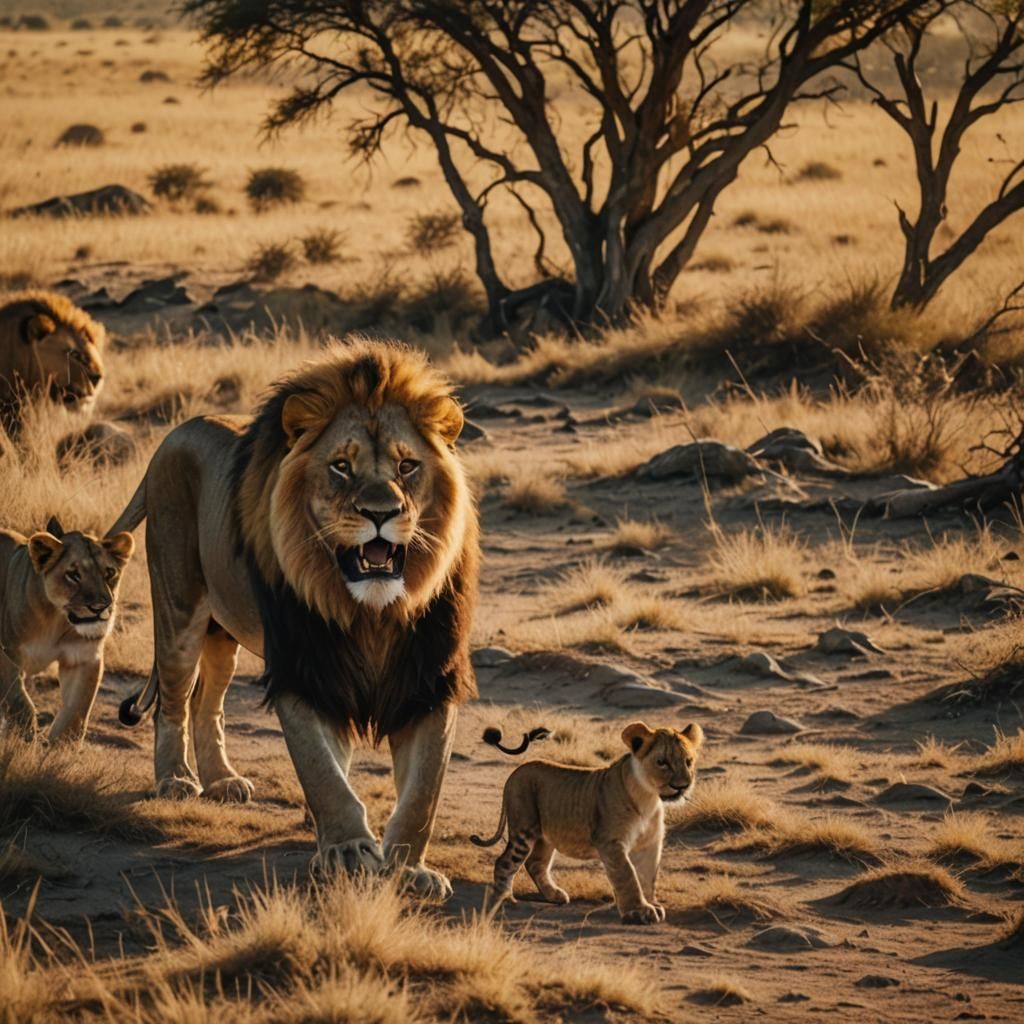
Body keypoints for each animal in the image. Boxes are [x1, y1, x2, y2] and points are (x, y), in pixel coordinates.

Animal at [0, 515, 134, 743]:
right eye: (73, 575)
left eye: (109, 573)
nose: (100, 607)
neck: (55, 620)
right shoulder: (6, 654)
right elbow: (18, 700)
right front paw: (23, 737)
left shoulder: (83, 659)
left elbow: (75, 714)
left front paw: (59, 748)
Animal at [109, 339, 478, 897]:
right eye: (342, 466)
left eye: (408, 466)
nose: (380, 513)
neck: (371, 611)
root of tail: (171, 437)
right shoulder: (304, 669)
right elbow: (323, 770)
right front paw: (347, 849)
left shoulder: (430, 676)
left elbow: (423, 790)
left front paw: (408, 869)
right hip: (179, 607)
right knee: (173, 702)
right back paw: (176, 780)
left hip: (223, 633)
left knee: (206, 703)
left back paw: (222, 781)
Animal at [471, 720, 704, 924]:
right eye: (662, 762)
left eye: (688, 761)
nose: (682, 786)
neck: (649, 796)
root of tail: (518, 769)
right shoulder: (610, 842)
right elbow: (627, 875)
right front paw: (638, 911)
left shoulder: (650, 843)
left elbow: (647, 876)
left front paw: (651, 904)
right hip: (524, 828)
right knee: (504, 862)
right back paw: (505, 898)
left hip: (545, 836)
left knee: (535, 863)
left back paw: (555, 895)